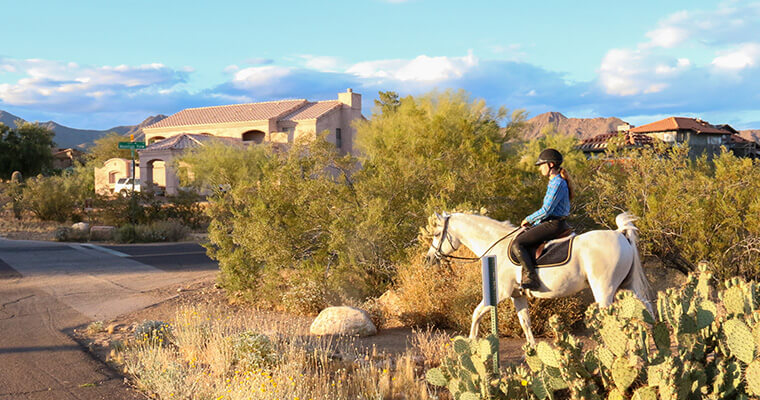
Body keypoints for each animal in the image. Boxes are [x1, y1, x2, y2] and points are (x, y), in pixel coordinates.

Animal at [424, 211, 652, 346]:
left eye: (436, 234)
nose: (429, 258)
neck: (497, 246)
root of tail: (620, 234)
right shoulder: (517, 296)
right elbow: (525, 322)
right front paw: (533, 349)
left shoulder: (499, 294)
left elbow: (476, 313)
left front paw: (471, 342)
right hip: (627, 287)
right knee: (647, 307)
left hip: (604, 290)